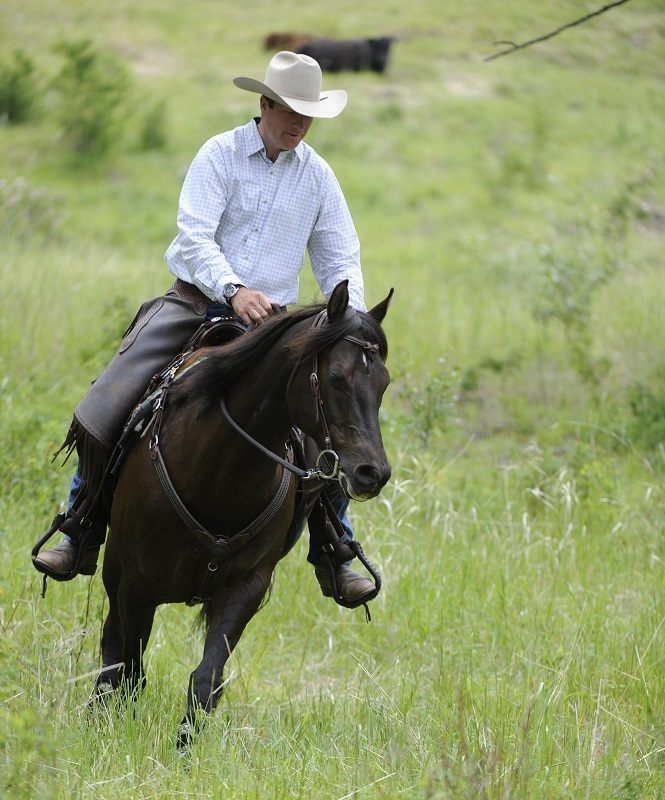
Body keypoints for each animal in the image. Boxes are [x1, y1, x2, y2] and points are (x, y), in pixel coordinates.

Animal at [93, 281, 393, 747]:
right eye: (336, 377)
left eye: (384, 383)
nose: (372, 473)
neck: (216, 470)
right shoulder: (136, 583)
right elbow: (130, 668)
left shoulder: (246, 588)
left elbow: (204, 681)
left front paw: (184, 753)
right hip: (114, 570)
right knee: (113, 648)